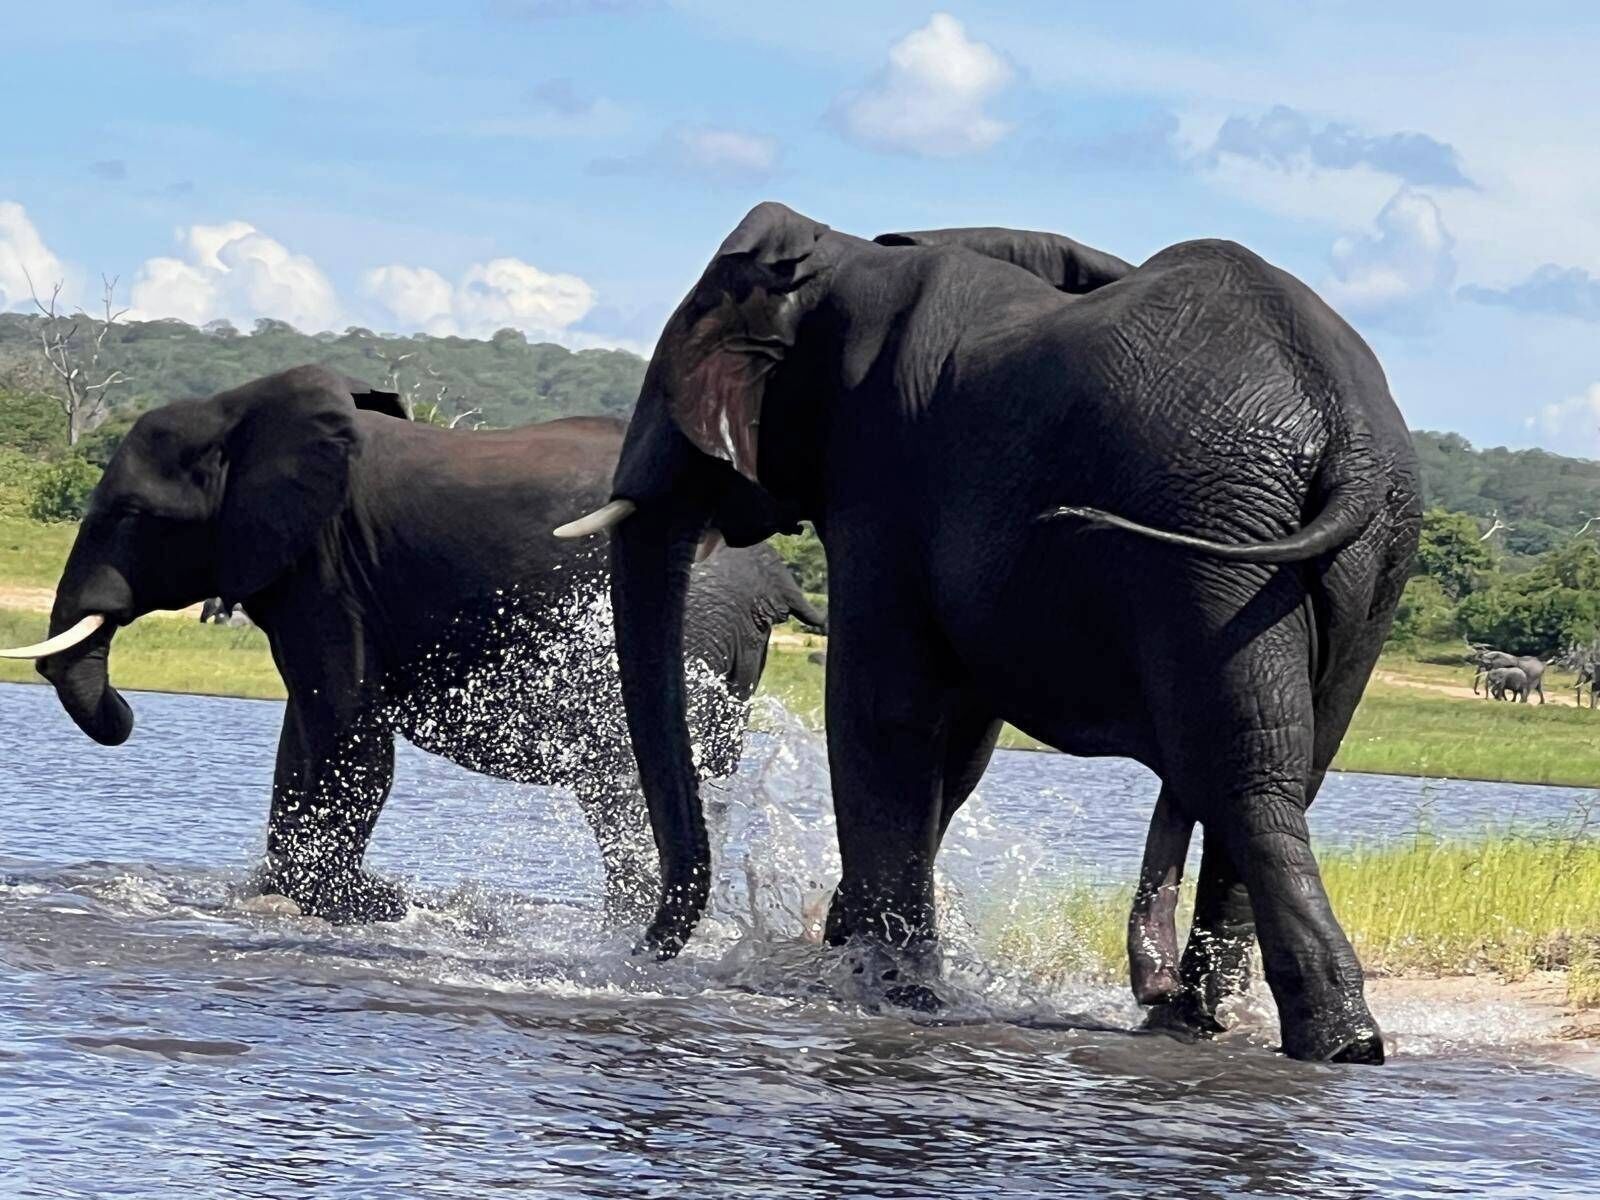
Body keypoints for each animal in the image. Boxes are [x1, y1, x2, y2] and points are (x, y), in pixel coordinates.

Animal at [1, 365, 824, 924]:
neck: (241, 410)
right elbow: (305, 733)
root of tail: (774, 576)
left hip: (681, 623)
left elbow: (345, 731)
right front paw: (284, 898)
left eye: (133, 516)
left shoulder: (329, 569)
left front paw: (362, 905)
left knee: (621, 782)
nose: (126, 710)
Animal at [558, 202, 1420, 1064]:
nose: (638, 955)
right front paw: (856, 959)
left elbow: (880, 710)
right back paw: (1207, 1024)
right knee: (1286, 767)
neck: (846, 258)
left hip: (1217, 534)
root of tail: (1350, 435)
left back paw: (1326, 1042)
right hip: (1363, 556)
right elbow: (960, 738)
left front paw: (884, 991)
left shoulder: (883, 472)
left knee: (1246, 777)